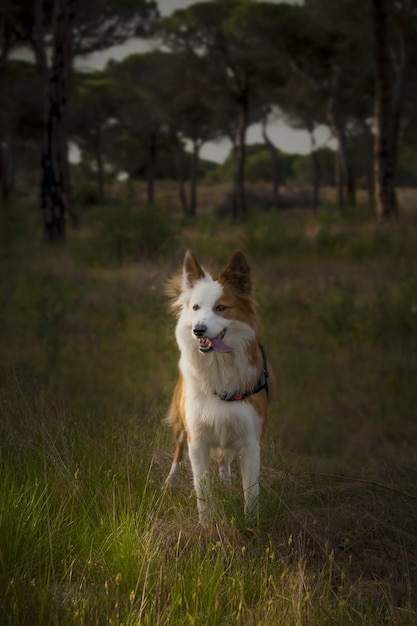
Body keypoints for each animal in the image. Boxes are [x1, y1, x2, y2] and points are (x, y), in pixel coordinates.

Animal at [164, 250, 272, 520]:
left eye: (221, 308)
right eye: (196, 307)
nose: (198, 330)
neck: (219, 367)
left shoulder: (250, 440)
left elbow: (251, 492)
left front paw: (251, 523)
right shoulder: (197, 437)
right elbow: (201, 489)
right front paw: (206, 524)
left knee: (225, 459)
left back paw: (226, 482)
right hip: (181, 425)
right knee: (177, 452)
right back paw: (169, 483)